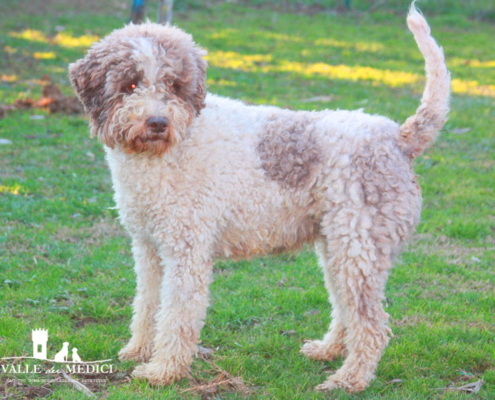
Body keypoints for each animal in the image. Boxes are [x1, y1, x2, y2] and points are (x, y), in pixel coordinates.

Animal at [70, 4, 454, 394]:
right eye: (130, 85)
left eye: (174, 86)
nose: (158, 122)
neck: (167, 150)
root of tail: (399, 138)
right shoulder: (149, 247)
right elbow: (148, 303)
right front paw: (138, 349)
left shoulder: (186, 250)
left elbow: (177, 314)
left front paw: (163, 370)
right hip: (338, 245)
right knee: (347, 306)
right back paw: (327, 350)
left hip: (358, 247)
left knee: (372, 323)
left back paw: (350, 378)